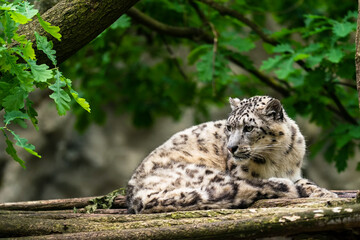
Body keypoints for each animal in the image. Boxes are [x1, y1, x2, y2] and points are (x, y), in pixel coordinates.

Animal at [126, 95, 338, 214]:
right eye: (229, 127)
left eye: (248, 127)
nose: (231, 148)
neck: (277, 159)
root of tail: (136, 196)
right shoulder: (241, 173)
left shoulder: (295, 172)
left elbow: (306, 182)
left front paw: (326, 193)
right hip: (204, 173)